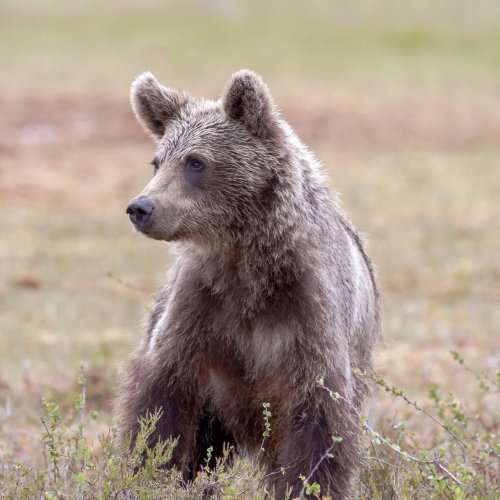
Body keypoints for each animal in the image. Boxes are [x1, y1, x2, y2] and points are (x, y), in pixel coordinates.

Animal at [116, 68, 378, 498]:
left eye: (196, 162)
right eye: (157, 161)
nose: (141, 207)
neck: (247, 265)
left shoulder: (306, 314)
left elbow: (318, 424)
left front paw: (309, 485)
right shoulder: (200, 310)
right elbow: (160, 407)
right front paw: (150, 472)